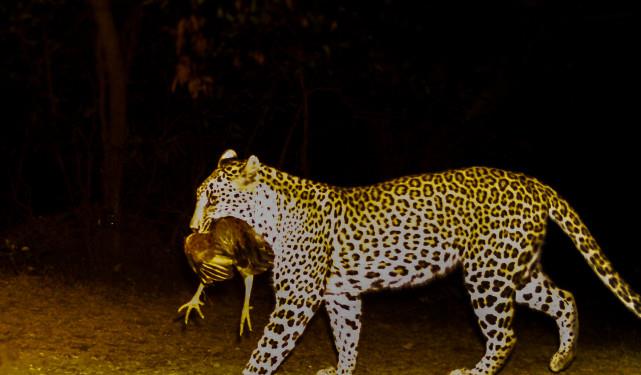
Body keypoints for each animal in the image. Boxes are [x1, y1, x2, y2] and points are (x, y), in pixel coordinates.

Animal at [188, 150, 640, 375]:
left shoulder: (297, 299)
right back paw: (564, 357)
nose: (191, 229)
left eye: (212, 197)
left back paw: (474, 373)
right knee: (565, 297)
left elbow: (268, 349)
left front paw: (252, 371)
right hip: (515, 269)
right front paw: (342, 371)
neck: (271, 215)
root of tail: (534, 183)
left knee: (506, 335)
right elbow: (347, 338)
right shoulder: (341, 296)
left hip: (486, 274)